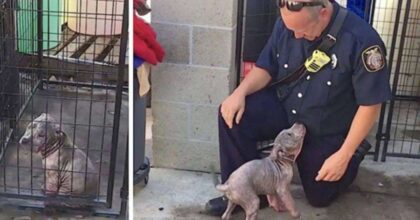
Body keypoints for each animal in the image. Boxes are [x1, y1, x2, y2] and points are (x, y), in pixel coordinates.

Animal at [0, 0, 128, 216]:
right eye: (30, 126)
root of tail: (92, 202)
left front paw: (45, 192)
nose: (24, 140)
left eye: (41, 135)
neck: (55, 145)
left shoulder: (54, 174)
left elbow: (51, 185)